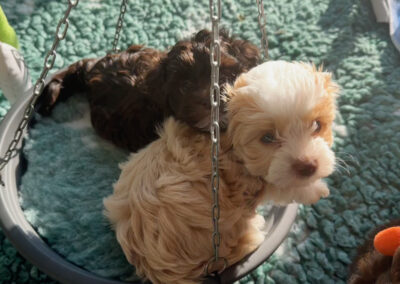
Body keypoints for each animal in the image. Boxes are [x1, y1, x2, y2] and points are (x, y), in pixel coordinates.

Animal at [103, 60, 338, 284]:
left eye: (317, 125)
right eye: (268, 138)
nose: (308, 165)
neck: (226, 142)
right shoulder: (248, 183)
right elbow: (282, 186)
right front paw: (316, 190)